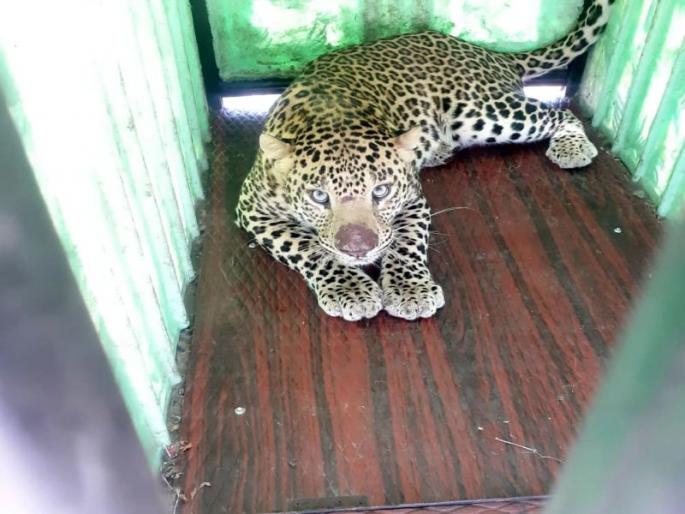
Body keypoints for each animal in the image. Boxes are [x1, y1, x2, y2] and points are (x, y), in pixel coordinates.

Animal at [236, 0, 614, 321]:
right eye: (319, 197)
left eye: (381, 191)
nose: (359, 249)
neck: (332, 118)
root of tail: (486, 52)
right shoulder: (253, 211)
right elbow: (309, 247)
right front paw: (351, 289)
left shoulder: (413, 201)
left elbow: (405, 244)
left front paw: (410, 291)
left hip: (482, 113)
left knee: (559, 113)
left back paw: (573, 147)